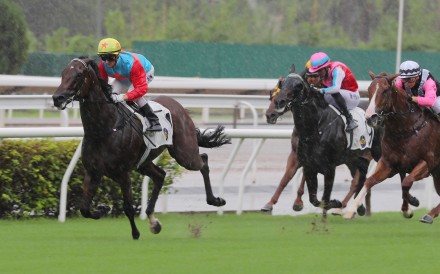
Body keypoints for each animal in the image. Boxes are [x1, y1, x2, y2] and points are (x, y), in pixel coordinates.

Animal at [52, 56, 230, 239]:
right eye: (63, 73)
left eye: (79, 75)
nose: (57, 98)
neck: (103, 130)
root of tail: (178, 105)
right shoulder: (93, 172)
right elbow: (84, 209)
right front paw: (103, 208)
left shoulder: (123, 174)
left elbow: (128, 207)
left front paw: (135, 233)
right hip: (143, 163)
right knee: (160, 175)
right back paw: (153, 221)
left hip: (184, 154)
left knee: (203, 161)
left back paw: (215, 200)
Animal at [262, 76, 372, 215]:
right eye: (272, 94)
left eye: (297, 87)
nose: (270, 114)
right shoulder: (296, 155)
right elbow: (286, 177)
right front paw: (269, 203)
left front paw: (298, 202)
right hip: (352, 159)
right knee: (357, 179)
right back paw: (357, 206)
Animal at [344, 71, 440, 224]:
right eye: (369, 90)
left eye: (385, 91)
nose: (370, 117)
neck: (406, 129)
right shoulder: (389, 163)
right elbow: (369, 181)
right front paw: (351, 210)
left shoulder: (427, 163)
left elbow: (406, 182)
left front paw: (407, 210)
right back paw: (430, 214)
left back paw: (429, 214)